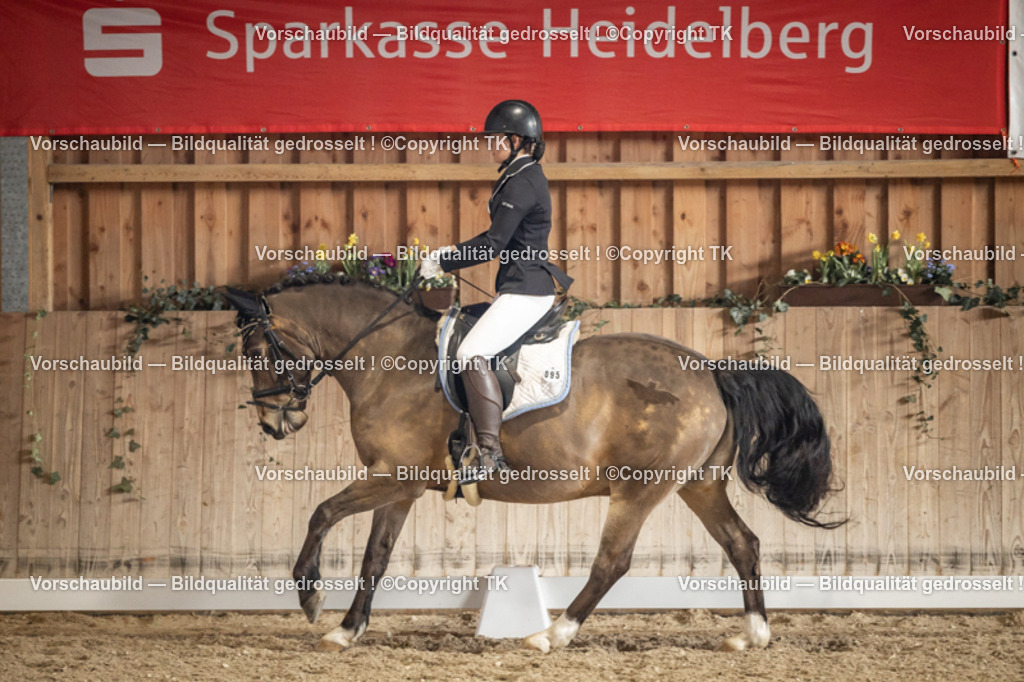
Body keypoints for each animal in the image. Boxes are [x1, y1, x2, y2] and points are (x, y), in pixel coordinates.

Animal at [223, 278, 844, 653]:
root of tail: (711, 370)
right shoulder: (399, 487)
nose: (275, 422)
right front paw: (347, 630)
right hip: (699, 485)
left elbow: (321, 512)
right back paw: (753, 634)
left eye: (256, 351)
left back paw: (553, 634)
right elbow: (375, 558)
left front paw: (310, 597)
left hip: (639, 489)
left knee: (613, 562)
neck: (389, 360)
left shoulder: (392, 476)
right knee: (743, 544)